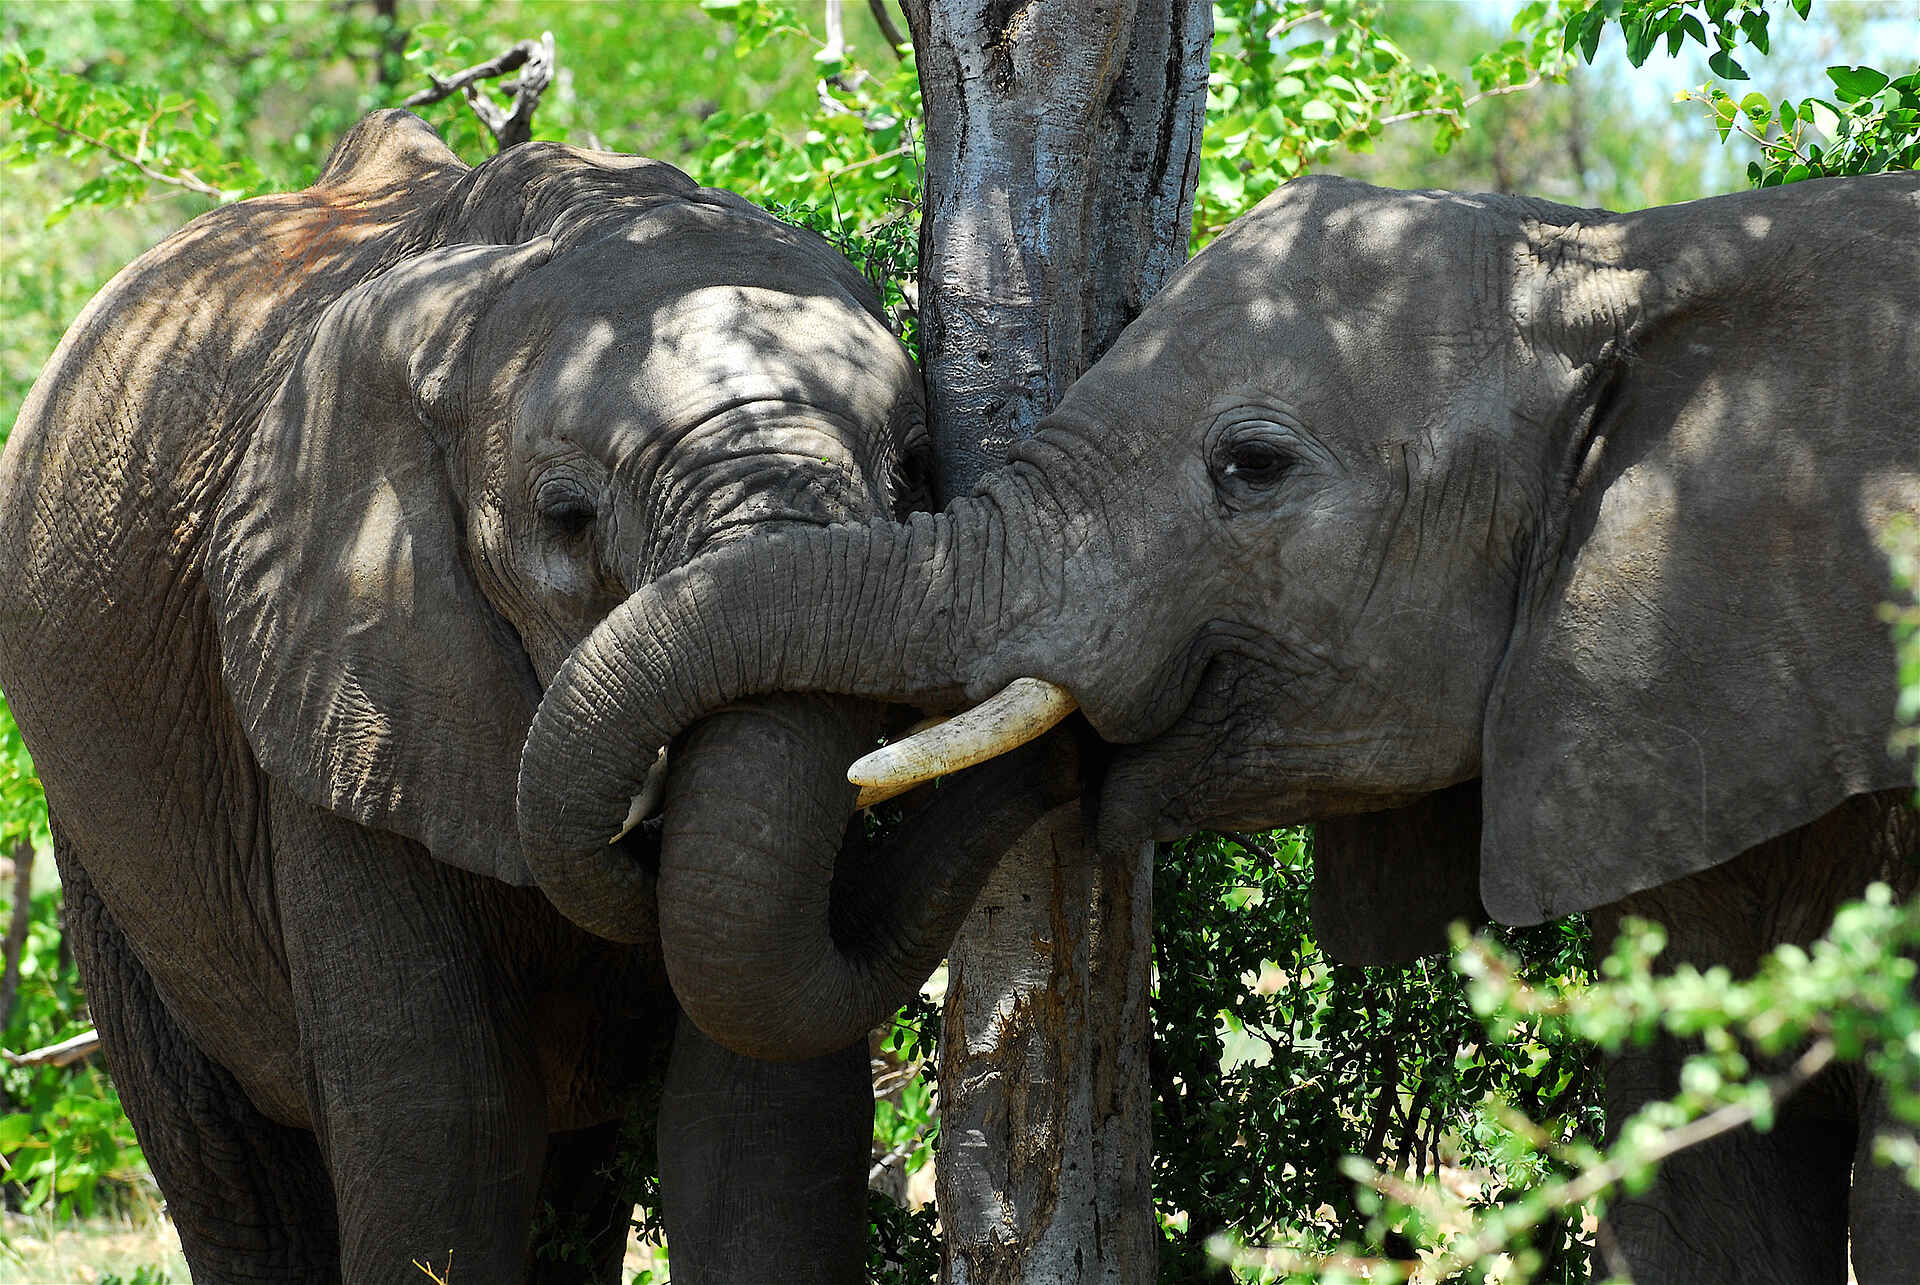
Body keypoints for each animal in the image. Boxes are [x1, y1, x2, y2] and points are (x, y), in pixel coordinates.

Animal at [0, 109, 1071, 1283]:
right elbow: (444, 1129)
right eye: (567, 517)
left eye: (915, 470)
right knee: (230, 1163)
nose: (1072, 766)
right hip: (103, 830)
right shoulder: (332, 680)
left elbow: (763, 1119)